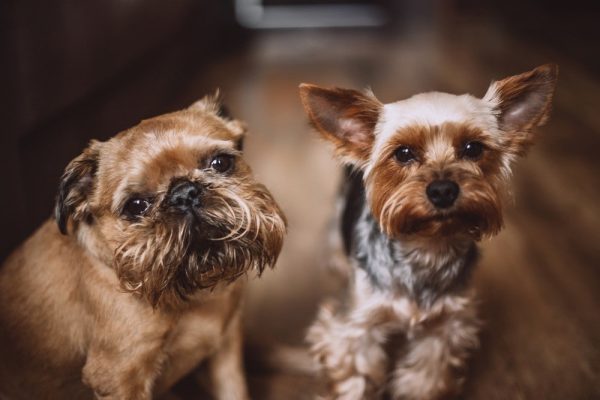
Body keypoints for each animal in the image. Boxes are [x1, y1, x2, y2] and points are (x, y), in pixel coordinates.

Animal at [0, 95, 288, 398]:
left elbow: (233, 390)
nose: (184, 192)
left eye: (221, 163)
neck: (194, 297)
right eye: (136, 206)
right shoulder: (119, 378)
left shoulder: (226, 345)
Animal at [300, 64, 556, 398]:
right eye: (403, 153)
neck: (427, 247)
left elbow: (424, 380)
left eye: (473, 148)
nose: (443, 190)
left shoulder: (444, 330)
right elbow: (355, 379)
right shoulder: (355, 329)